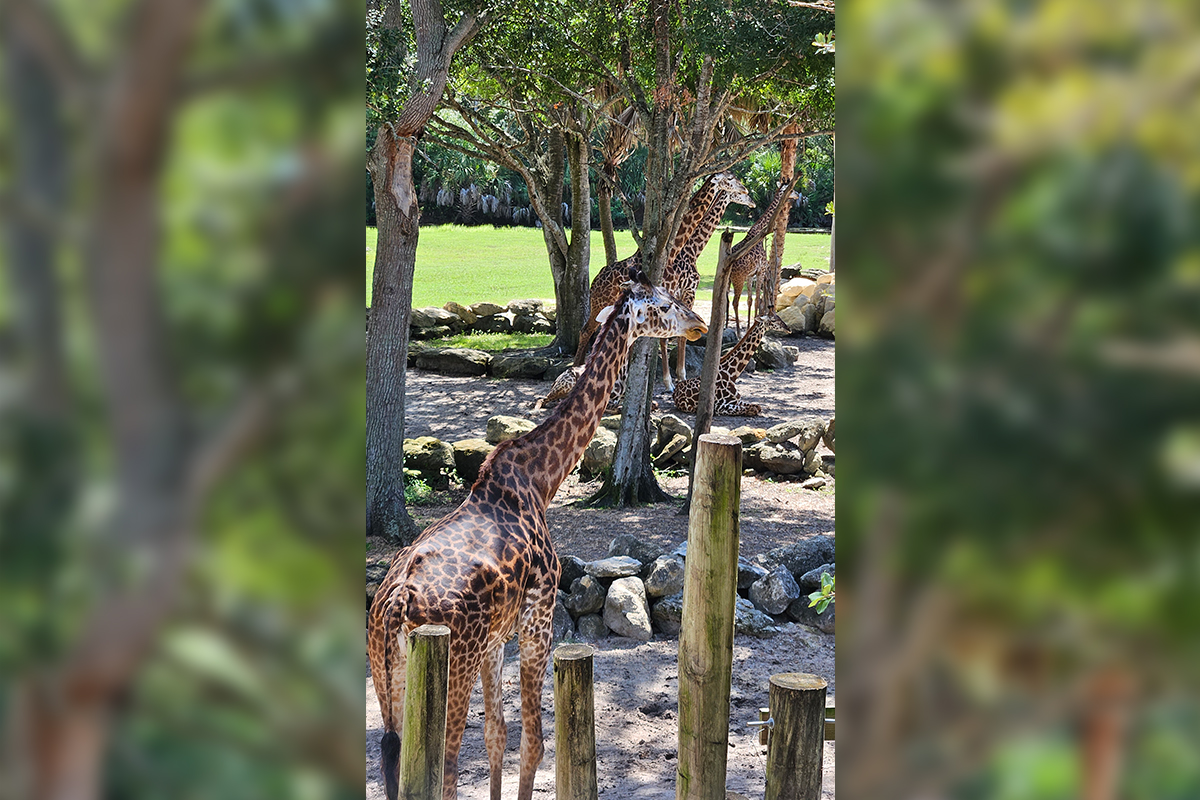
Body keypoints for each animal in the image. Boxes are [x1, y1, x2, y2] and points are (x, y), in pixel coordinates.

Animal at [364, 268, 700, 800]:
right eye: (665, 304)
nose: (699, 324)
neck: (541, 479)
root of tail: (395, 605)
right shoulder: (538, 619)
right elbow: (534, 743)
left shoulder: (494, 640)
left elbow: (497, 736)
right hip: (450, 663)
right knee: (446, 765)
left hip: (389, 676)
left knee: (394, 760)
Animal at [571, 172, 748, 393]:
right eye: (730, 180)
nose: (747, 193)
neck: (686, 251)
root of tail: (595, 280)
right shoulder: (681, 293)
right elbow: (666, 337)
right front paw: (673, 380)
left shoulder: (676, 296)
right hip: (599, 303)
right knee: (586, 331)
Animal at [724, 179, 801, 333]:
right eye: (792, 190)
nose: (797, 195)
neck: (760, 230)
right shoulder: (761, 270)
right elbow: (757, 300)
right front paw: (753, 325)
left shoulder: (750, 274)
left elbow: (750, 300)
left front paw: (749, 324)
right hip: (738, 278)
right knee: (735, 301)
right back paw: (737, 332)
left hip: (730, 280)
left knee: (726, 300)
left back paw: (725, 326)